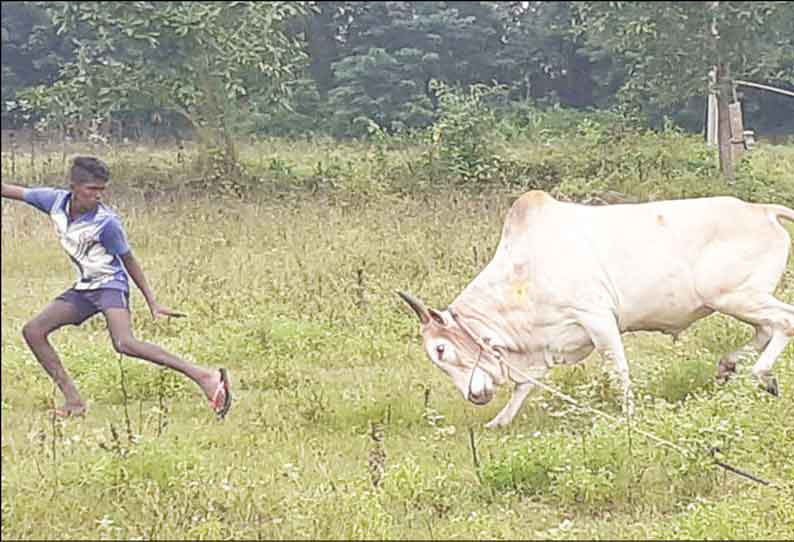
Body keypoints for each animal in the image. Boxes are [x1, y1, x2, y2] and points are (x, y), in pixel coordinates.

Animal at [400, 191, 792, 430]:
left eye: (440, 349)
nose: (474, 396)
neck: (525, 271)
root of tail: (761, 210)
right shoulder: (547, 346)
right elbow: (524, 386)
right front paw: (500, 422)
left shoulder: (598, 319)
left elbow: (618, 370)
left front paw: (630, 416)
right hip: (740, 299)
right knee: (765, 329)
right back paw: (729, 366)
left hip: (735, 295)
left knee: (783, 321)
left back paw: (761, 374)